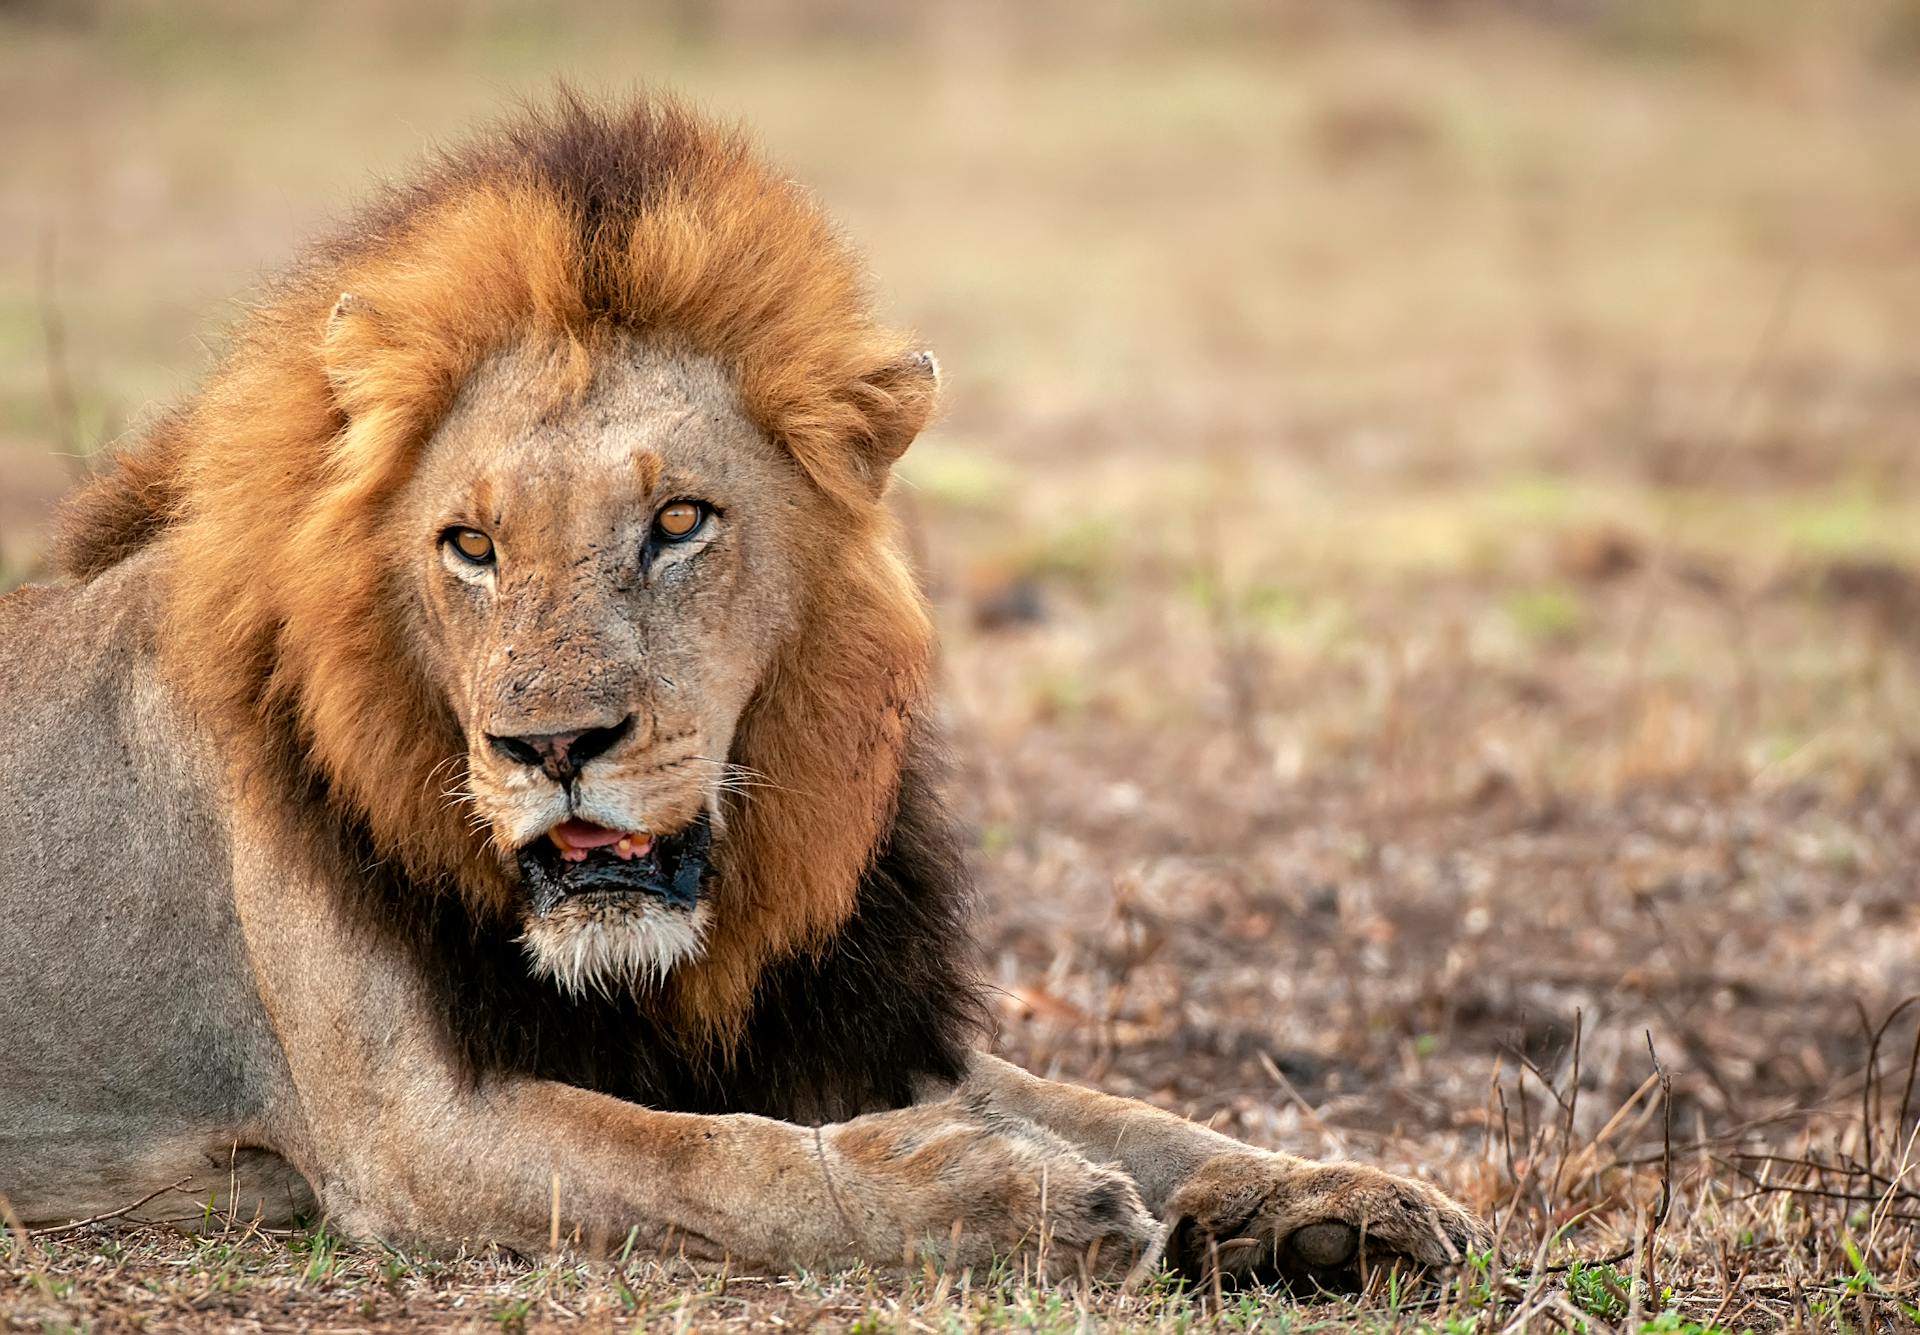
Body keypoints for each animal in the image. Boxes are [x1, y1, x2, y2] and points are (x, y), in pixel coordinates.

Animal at [0, 94, 1489, 1283]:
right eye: (470, 545)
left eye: (678, 523)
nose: (554, 745)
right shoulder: (405, 1129)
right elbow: (717, 1159)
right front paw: (1010, 1193)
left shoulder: (841, 1023)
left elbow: (1124, 1108)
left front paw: (1331, 1198)